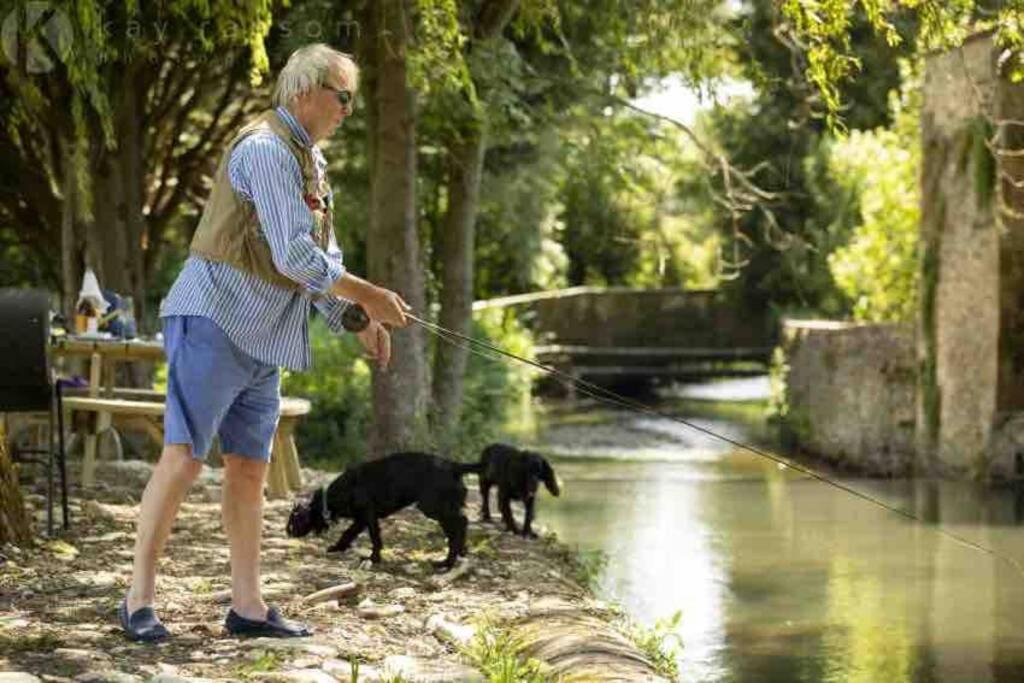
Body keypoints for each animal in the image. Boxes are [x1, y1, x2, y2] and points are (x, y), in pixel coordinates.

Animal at [288, 450, 479, 569]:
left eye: (293, 523)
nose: (288, 533)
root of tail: (454, 466)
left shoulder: (368, 516)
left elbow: (372, 538)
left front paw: (373, 558)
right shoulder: (361, 519)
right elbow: (349, 534)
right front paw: (338, 548)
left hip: (433, 507)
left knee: (460, 523)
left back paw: (448, 562)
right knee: (458, 527)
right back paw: (456, 555)